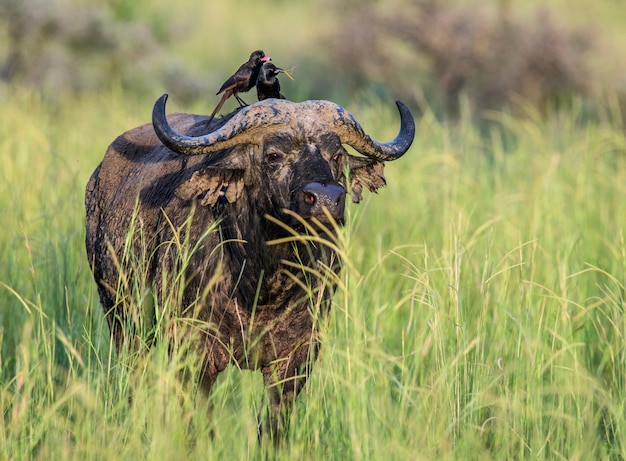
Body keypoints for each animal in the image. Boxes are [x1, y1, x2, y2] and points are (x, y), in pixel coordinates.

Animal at [84, 94, 414, 434]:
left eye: (336, 155)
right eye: (273, 155)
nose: (325, 199)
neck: (262, 283)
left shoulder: (296, 357)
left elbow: (273, 426)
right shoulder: (194, 351)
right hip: (124, 321)